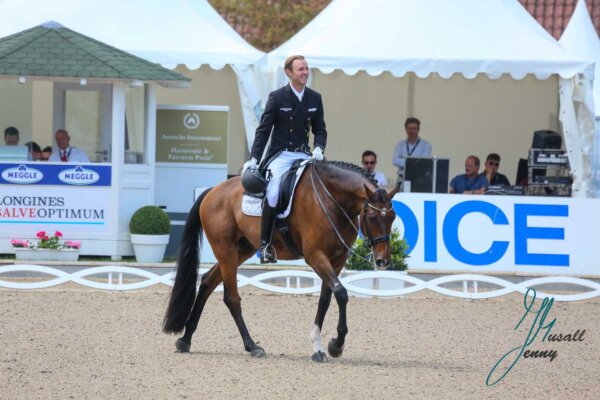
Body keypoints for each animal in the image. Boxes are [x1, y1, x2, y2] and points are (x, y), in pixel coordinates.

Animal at [163, 160, 398, 362]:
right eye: (373, 217)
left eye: (393, 217)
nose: (382, 261)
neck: (331, 200)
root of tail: (213, 190)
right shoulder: (315, 256)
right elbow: (341, 293)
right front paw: (336, 345)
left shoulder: (337, 260)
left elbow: (326, 299)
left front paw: (319, 347)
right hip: (225, 250)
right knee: (232, 298)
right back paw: (252, 346)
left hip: (241, 249)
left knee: (207, 282)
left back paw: (185, 340)